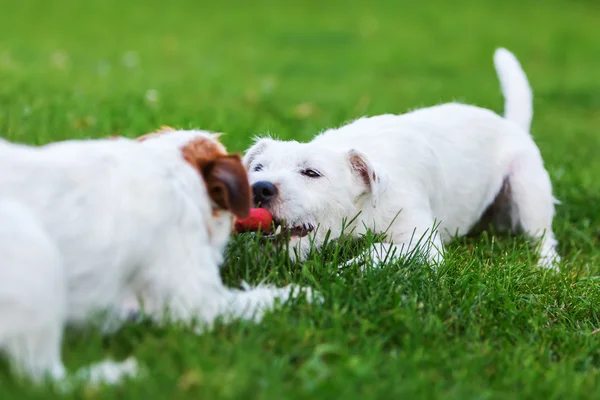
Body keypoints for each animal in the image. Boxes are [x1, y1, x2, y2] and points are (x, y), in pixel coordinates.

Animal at [241, 48, 560, 270]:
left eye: (311, 173)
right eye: (257, 168)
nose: (260, 188)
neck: (365, 205)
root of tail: (511, 125)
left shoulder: (422, 244)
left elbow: (380, 250)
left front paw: (351, 268)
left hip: (529, 192)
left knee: (544, 238)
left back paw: (546, 265)